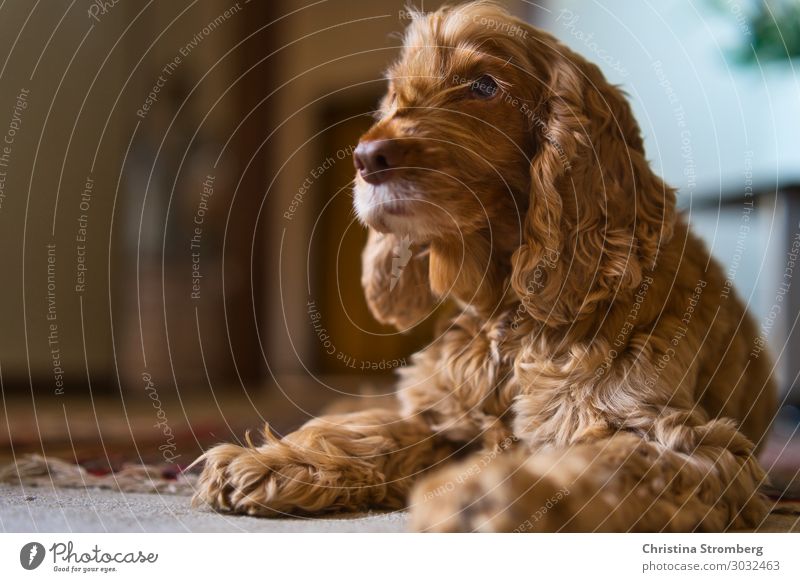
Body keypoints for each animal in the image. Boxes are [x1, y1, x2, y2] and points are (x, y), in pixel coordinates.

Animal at [194, 1, 776, 532]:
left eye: (483, 86)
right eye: (396, 93)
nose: (366, 159)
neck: (508, 314)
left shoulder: (686, 443)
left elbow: (605, 466)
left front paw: (486, 498)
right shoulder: (445, 418)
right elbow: (380, 430)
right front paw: (272, 462)